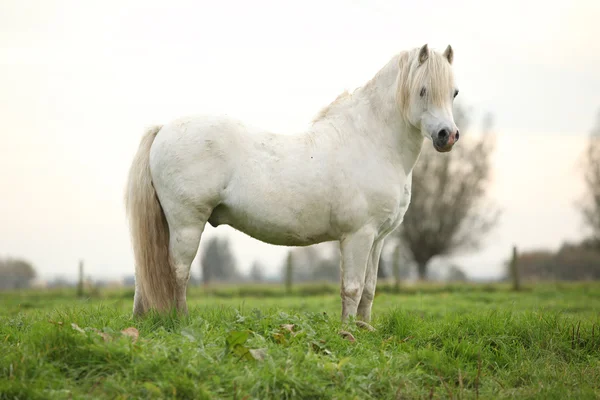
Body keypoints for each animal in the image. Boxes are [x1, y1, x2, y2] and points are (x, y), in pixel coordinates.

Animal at [125, 43, 460, 324]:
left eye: (454, 92)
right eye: (422, 91)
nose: (448, 136)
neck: (371, 143)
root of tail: (163, 129)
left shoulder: (378, 239)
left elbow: (368, 289)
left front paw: (364, 329)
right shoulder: (358, 235)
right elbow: (351, 288)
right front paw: (347, 333)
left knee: (146, 273)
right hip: (187, 224)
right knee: (178, 272)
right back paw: (183, 321)